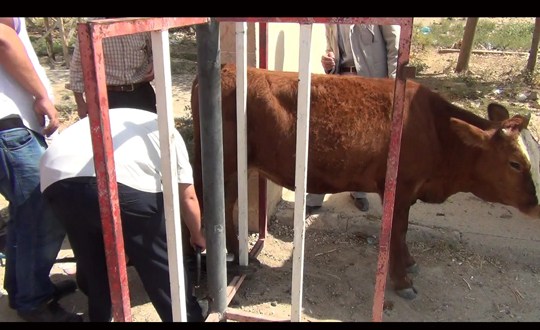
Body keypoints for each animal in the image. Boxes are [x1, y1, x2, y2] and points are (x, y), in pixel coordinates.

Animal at [190, 63, 540, 300]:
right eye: (515, 163)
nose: (535, 205)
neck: (438, 132)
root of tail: (228, 67)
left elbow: (402, 231)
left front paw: (409, 264)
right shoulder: (399, 187)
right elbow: (398, 231)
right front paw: (402, 281)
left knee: (228, 204)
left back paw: (238, 255)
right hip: (222, 161)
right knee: (212, 204)